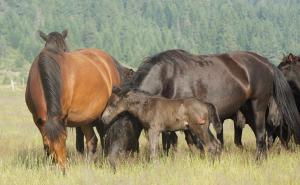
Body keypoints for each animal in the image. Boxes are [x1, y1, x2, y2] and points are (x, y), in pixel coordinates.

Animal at [24, 30, 124, 171]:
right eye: (49, 142)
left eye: (65, 138)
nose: (63, 168)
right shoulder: (38, 119)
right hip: (86, 118)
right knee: (92, 140)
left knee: (104, 136)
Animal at [111, 49, 300, 160]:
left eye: (120, 130)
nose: (112, 162)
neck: (167, 77)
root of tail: (266, 63)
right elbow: (173, 142)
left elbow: (190, 142)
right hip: (247, 109)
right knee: (262, 138)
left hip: (257, 107)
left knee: (261, 136)